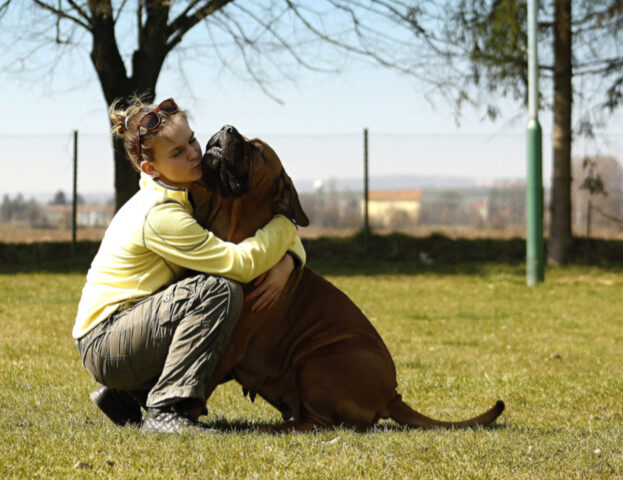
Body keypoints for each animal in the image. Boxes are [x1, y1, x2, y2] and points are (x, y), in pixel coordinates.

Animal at [193, 124, 504, 432]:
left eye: (256, 149)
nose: (226, 127)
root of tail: (392, 396)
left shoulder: (227, 345)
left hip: (315, 363)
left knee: (318, 423)